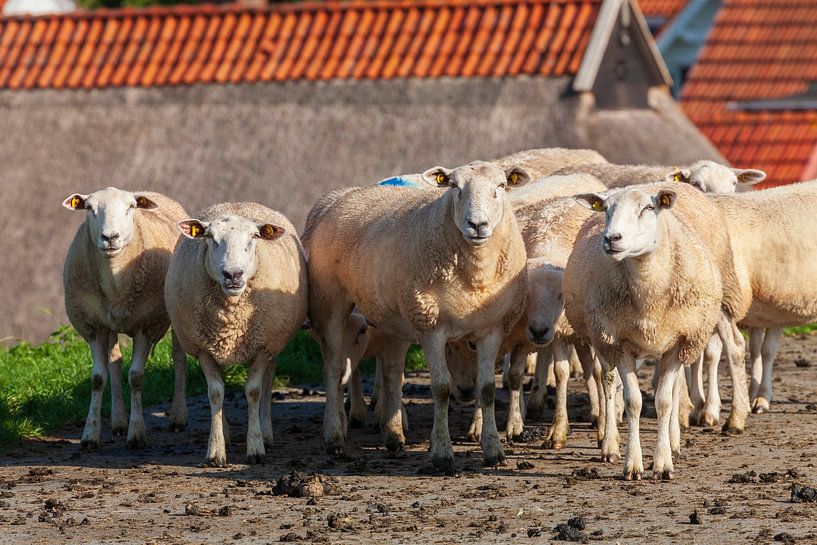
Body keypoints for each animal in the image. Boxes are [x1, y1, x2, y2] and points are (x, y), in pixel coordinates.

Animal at [62, 187, 188, 450]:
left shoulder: (148, 325)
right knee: (115, 362)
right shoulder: (93, 325)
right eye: (89, 208)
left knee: (179, 359)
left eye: (130, 207)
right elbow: (98, 378)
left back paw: (177, 417)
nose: (110, 237)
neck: (115, 278)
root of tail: (149, 192)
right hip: (110, 325)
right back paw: (119, 422)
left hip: (178, 311)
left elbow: (136, 377)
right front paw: (90, 435)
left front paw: (137, 434)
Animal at [165, 202, 308, 466]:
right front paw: (216, 450)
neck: (231, 317)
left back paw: (266, 432)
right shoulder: (203, 349)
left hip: (274, 341)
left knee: (268, 382)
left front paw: (256, 446)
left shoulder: (263, 345)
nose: (233, 275)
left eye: (254, 237)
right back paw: (226, 433)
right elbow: (215, 393)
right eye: (210, 237)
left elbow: (254, 391)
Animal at [306, 161, 529, 472]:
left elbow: (486, 389)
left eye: (501, 186)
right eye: (454, 187)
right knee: (333, 368)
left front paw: (494, 451)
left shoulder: (491, 329)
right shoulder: (431, 326)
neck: (474, 273)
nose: (477, 225)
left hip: (395, 312)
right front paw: (443, 454)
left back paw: (393, 434)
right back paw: (335, 437)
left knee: (392, 370)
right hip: (330, 301)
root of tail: (342, 194)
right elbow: (441, 389)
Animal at [564, 182, 749, 479]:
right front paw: (633, 464)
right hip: (601, 335)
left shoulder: (679, 342)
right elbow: (633, 401)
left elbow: (664, 401)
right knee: (607, 381)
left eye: (648, 208)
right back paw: (610, 445)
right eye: (606, 209)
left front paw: (663, 463)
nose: (611, 238)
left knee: (728, 349)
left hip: (716, 306)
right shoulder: (619, 342)